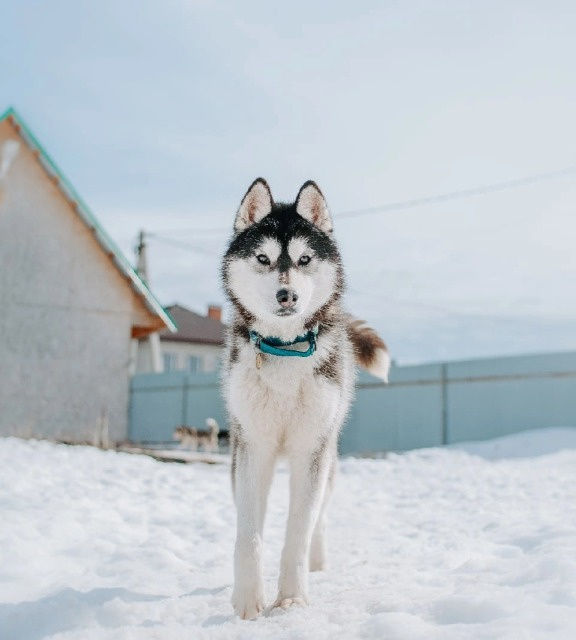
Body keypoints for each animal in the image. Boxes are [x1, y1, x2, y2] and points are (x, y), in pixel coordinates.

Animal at [220, 180, 392, 620]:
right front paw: (248, 599)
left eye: (304, 259)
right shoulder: (252, 447)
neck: (285, 349)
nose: (287, 295)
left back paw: (318, 562)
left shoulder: (311, 449)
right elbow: (249, 534)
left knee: (320, 518)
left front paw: (292, 598)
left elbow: (299, 529)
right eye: (263, 258)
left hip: (328, 457)